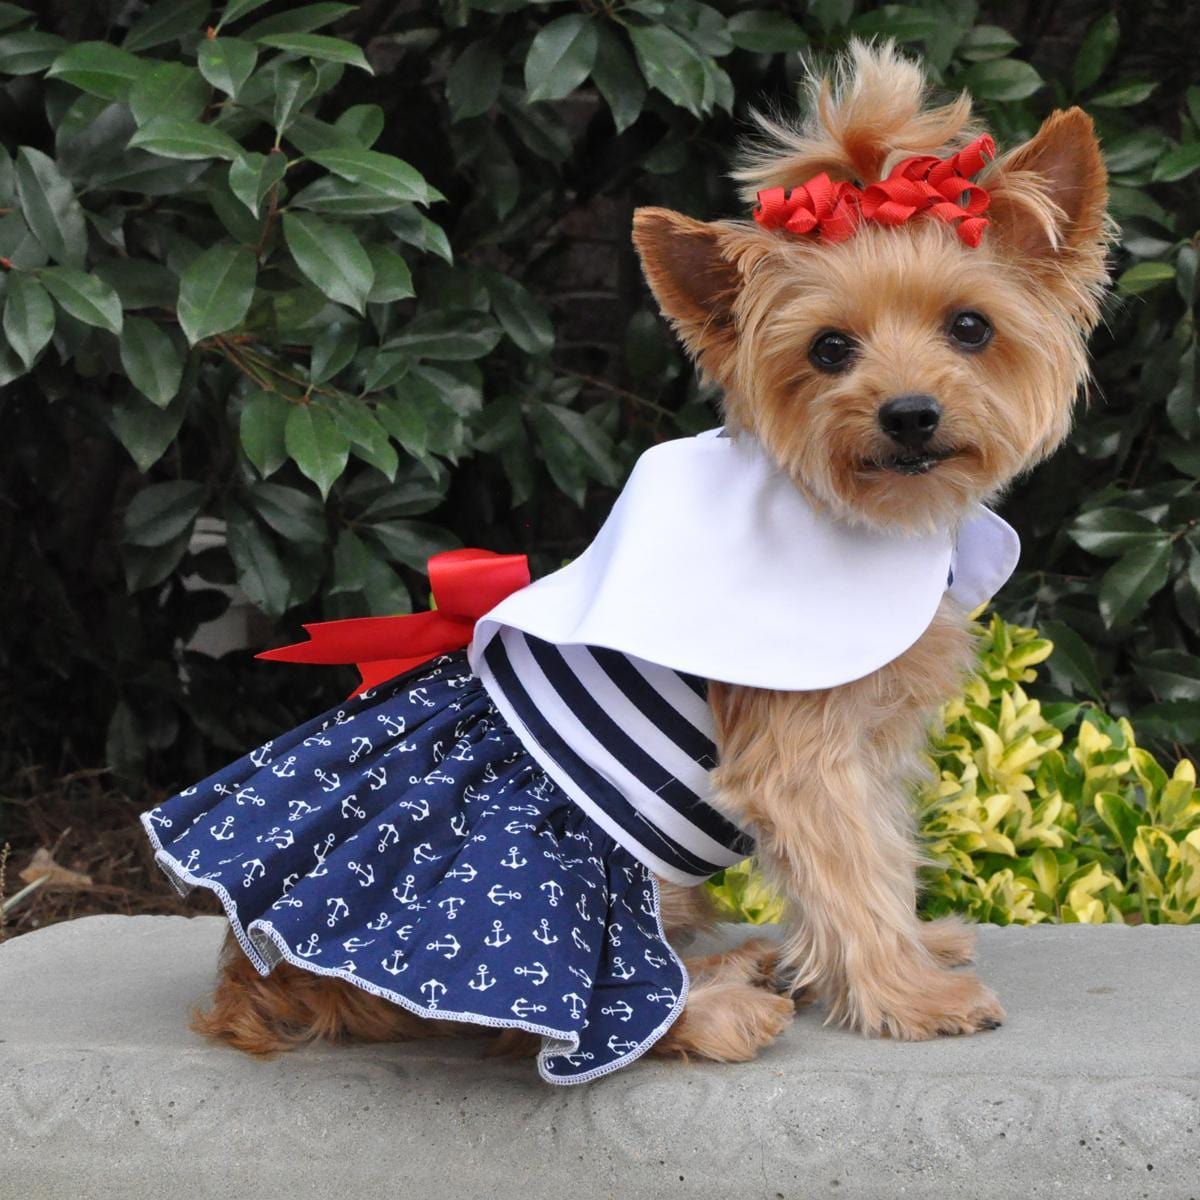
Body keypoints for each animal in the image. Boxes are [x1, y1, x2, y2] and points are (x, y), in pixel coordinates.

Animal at [189, 42, 1113, 1065]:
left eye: (970, 327)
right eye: (830, 350)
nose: (910, 414)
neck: (859, 517)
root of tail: (253, 975)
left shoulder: (869, 748)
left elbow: (881, 855)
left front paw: (913, 948)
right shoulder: (802, 759)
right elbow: (852, 874)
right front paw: (909, 993)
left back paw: (745, 961)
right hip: (546, 885)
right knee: (554, 1017)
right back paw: (721, 1008)